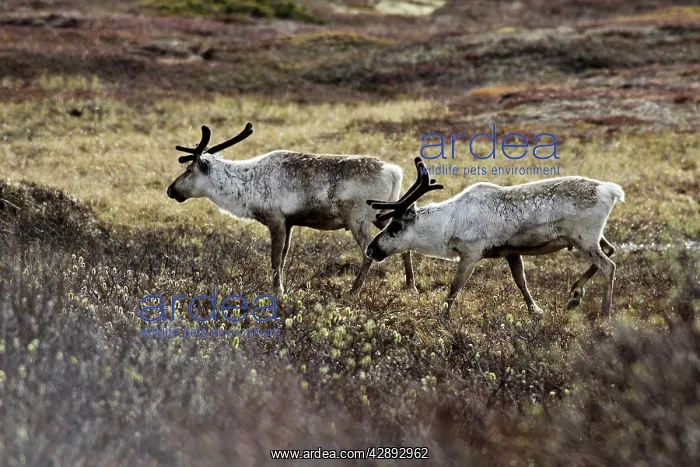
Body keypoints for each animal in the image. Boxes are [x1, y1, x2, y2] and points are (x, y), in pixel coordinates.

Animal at [166, 122, 418, 297]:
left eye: (188, 170)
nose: (170, 190)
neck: (247, 186)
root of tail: (394, 171)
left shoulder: (276, 219)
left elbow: (275, 258)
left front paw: (278, 291)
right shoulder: (289, 223)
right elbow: (284, 256)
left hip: (359, 218)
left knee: (368, 252)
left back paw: (353, 291)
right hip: (383, 215)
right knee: (402, 244)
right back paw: (411, 287)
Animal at [365, 157, 625, 319]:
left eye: (395, 226)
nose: (371, 249)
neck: (448, 224)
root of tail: (610, 190)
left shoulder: (470, 253)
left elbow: (454, 287)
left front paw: (442, 317)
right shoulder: (511, 251)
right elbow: (521, 281)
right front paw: (535, 311)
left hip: (585, 238)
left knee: (609, 265)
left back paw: (604, 312)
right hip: (590, 238)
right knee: (610, 250)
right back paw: (574, 296)